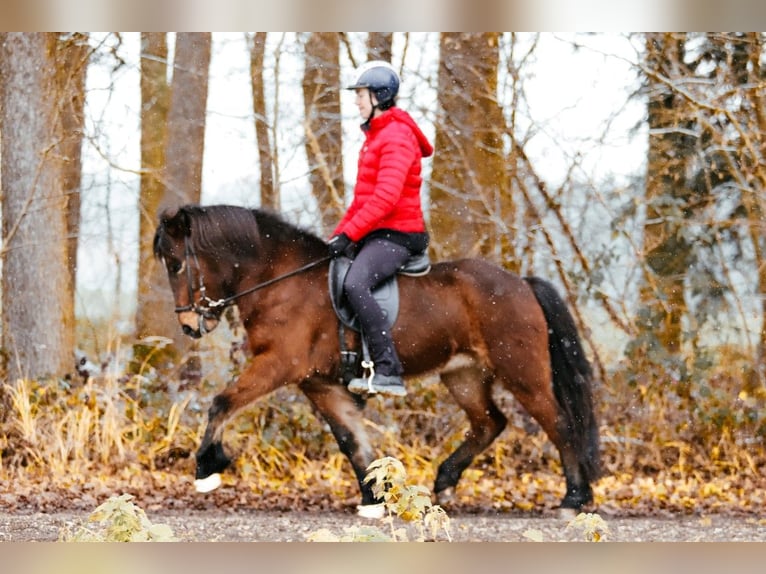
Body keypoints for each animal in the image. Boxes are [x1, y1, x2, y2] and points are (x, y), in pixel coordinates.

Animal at [152, 204, 600, 515]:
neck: (282, 281)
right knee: (489, 422)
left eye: (176, 264)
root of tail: (521, 283)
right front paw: (373, 498)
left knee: (560, 422)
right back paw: (445, 480)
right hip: (464, 375)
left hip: (521, 371)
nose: (190, 325)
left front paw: (207, 469)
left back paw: (574, 499)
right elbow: (351, 439)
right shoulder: (316, 381)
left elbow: (222, 402)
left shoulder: (278, 363)